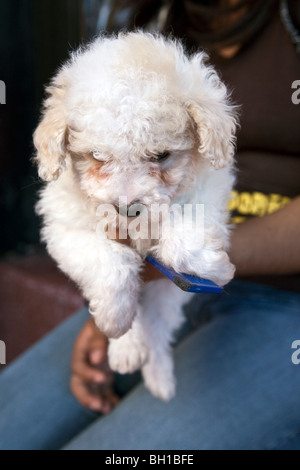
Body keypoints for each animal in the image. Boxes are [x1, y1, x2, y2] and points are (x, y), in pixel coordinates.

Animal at [34, 32, 237, 400]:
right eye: (97, 156)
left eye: (161, 155)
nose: (127, 208)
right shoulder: (66, 229)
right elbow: (110, 263)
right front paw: (115, 321)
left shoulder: (209, 197)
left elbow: (184, 240)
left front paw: (216, 268)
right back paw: (126, 349)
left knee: (157, 321)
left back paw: (158, 375)